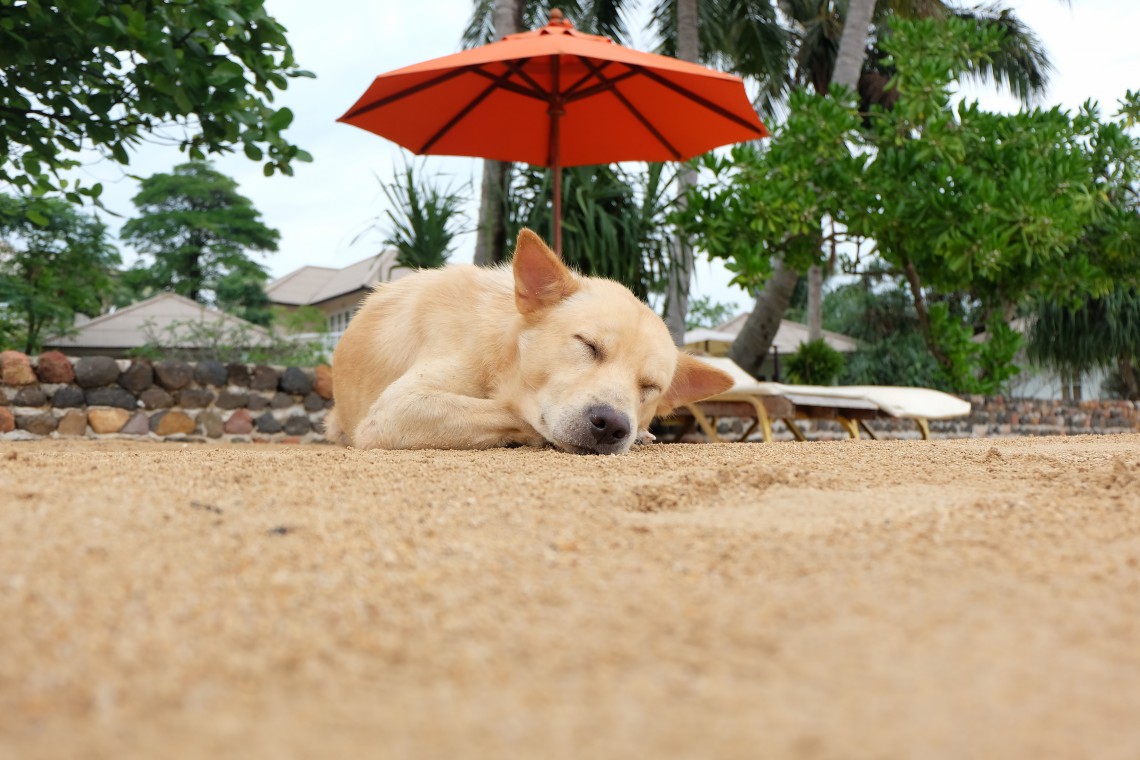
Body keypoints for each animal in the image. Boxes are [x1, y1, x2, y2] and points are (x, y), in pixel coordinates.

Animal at [323, 225, 729, 451]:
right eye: (588, 345)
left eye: (650, 388)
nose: (614, 425)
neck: (500, 348)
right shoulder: (392, 411)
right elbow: (513, 412)